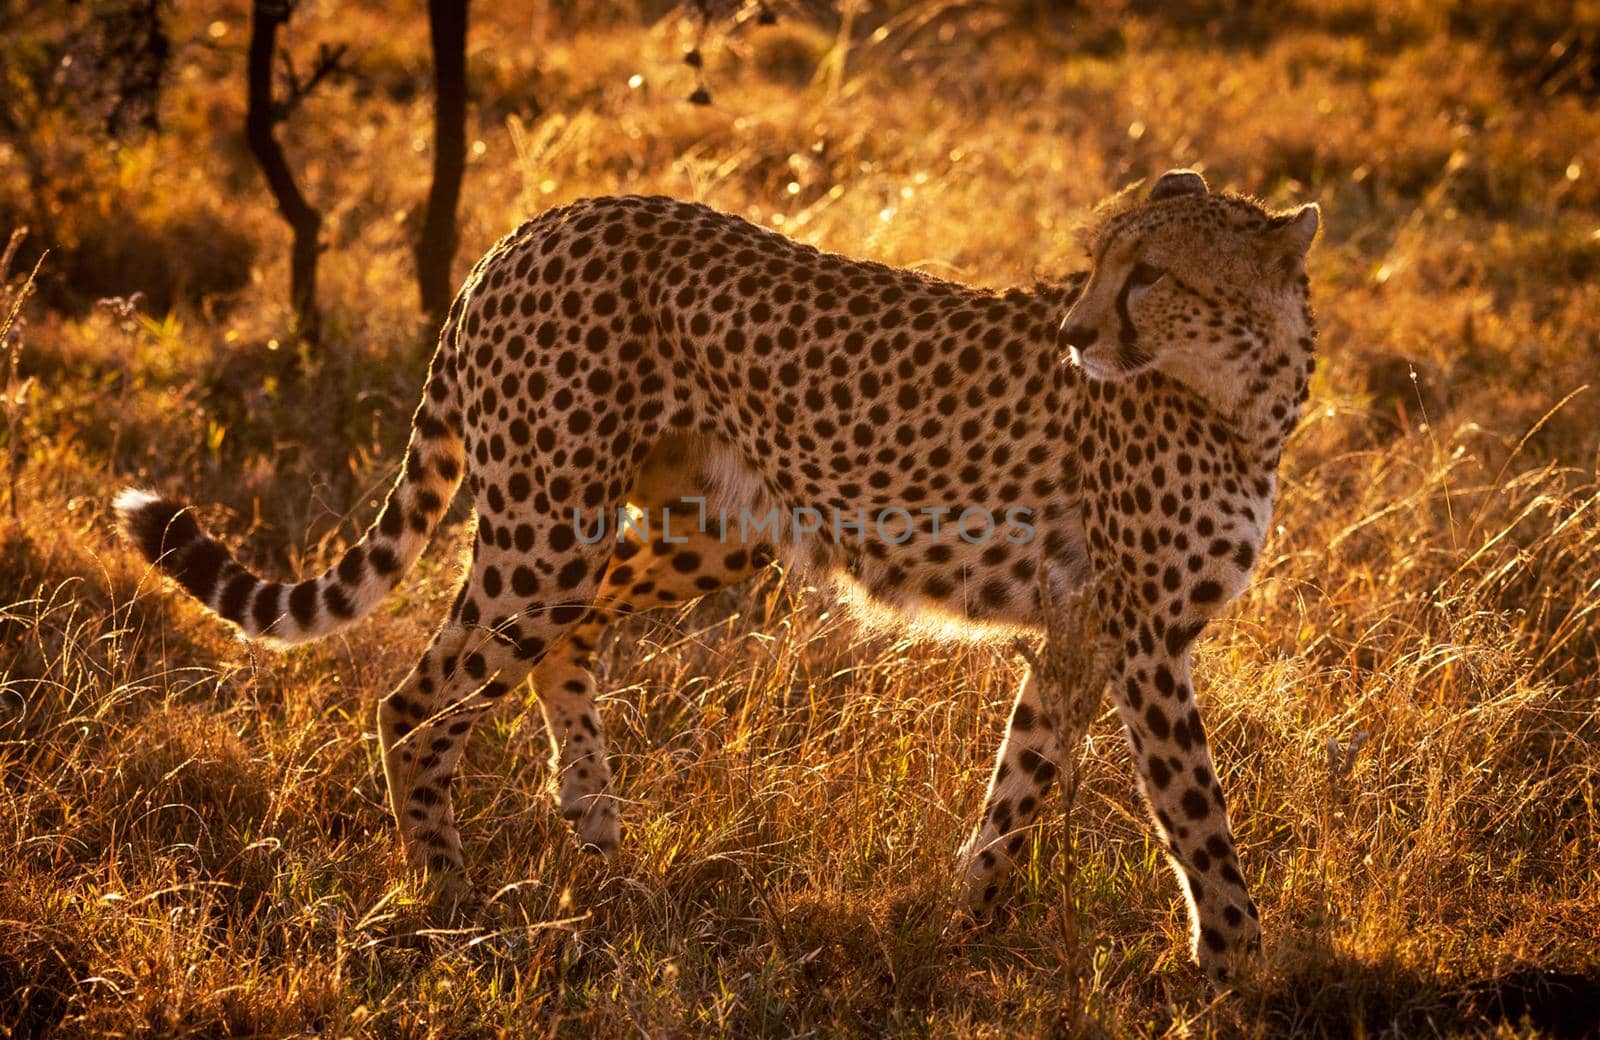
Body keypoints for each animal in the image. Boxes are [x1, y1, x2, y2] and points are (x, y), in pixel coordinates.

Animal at [109, 168, 1312, 979]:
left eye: (1148, 273)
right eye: (1104, 263)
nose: (1072, 330)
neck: (1244, 396)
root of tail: (531, 227)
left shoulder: (1079, 638)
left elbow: (1019, 786)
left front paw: (964, 919)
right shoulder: (1143, 640)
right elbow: (1197, 815)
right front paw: (1241, 970)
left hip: (693, 526)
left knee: (571, 632)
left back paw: (598, 837)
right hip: (548, 526)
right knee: (415, 701)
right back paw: (450, 896)